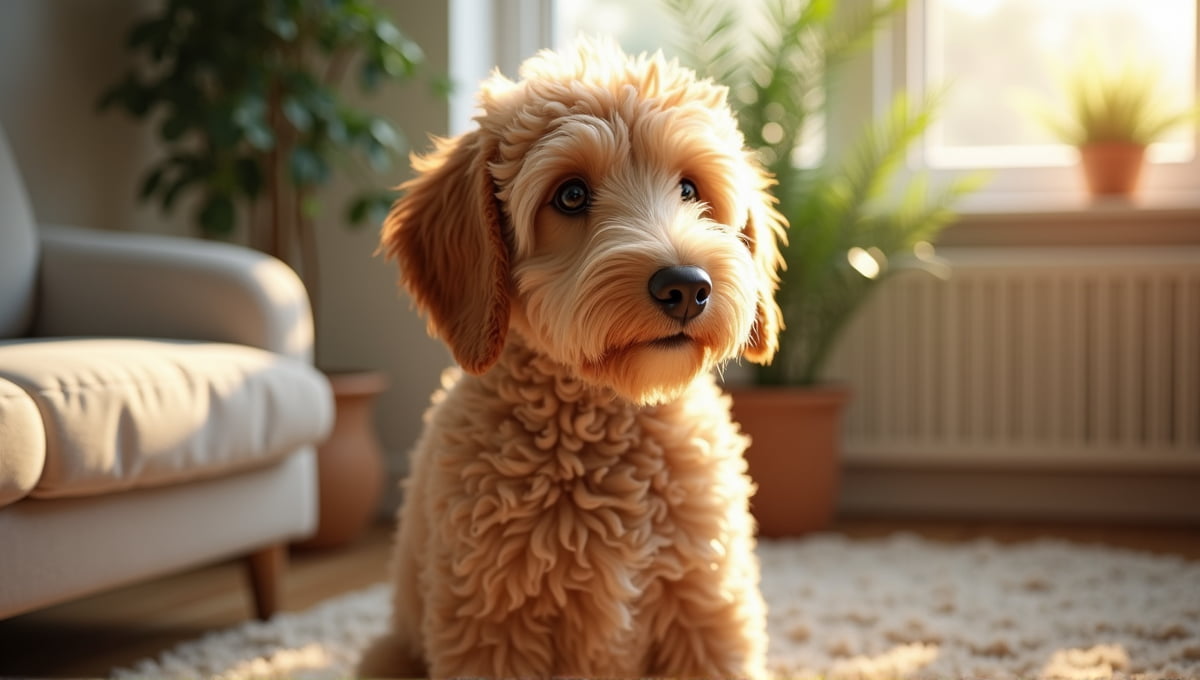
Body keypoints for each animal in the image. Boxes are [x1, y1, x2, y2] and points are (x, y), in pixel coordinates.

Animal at [355, 38, 787, 680]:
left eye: (689, 189)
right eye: (572, 195)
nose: (686, 286)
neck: (605, 428)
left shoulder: (707, 612)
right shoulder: (491, 626)